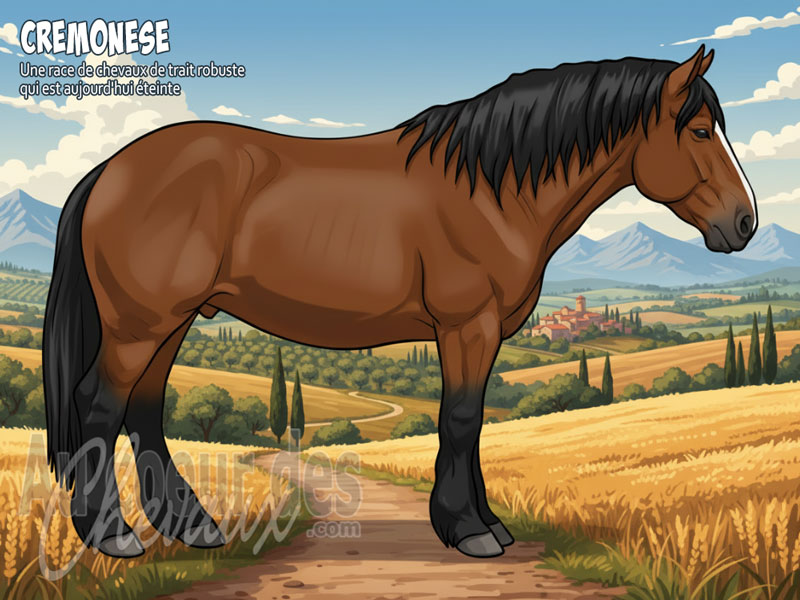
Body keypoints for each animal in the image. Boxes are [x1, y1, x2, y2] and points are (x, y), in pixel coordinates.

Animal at [43, 45, 756, 559]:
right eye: (699, 130)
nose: (744, 223)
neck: (492, 188)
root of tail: (110, 169)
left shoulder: (480, 334)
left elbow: (472, 424)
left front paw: (487, 522)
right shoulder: (468, 327)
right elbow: (461, 419)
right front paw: (469, 531)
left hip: (169, 322)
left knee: (145, 412)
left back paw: (192, 527)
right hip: (140, 324)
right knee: (100, 406)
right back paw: (112, 536)